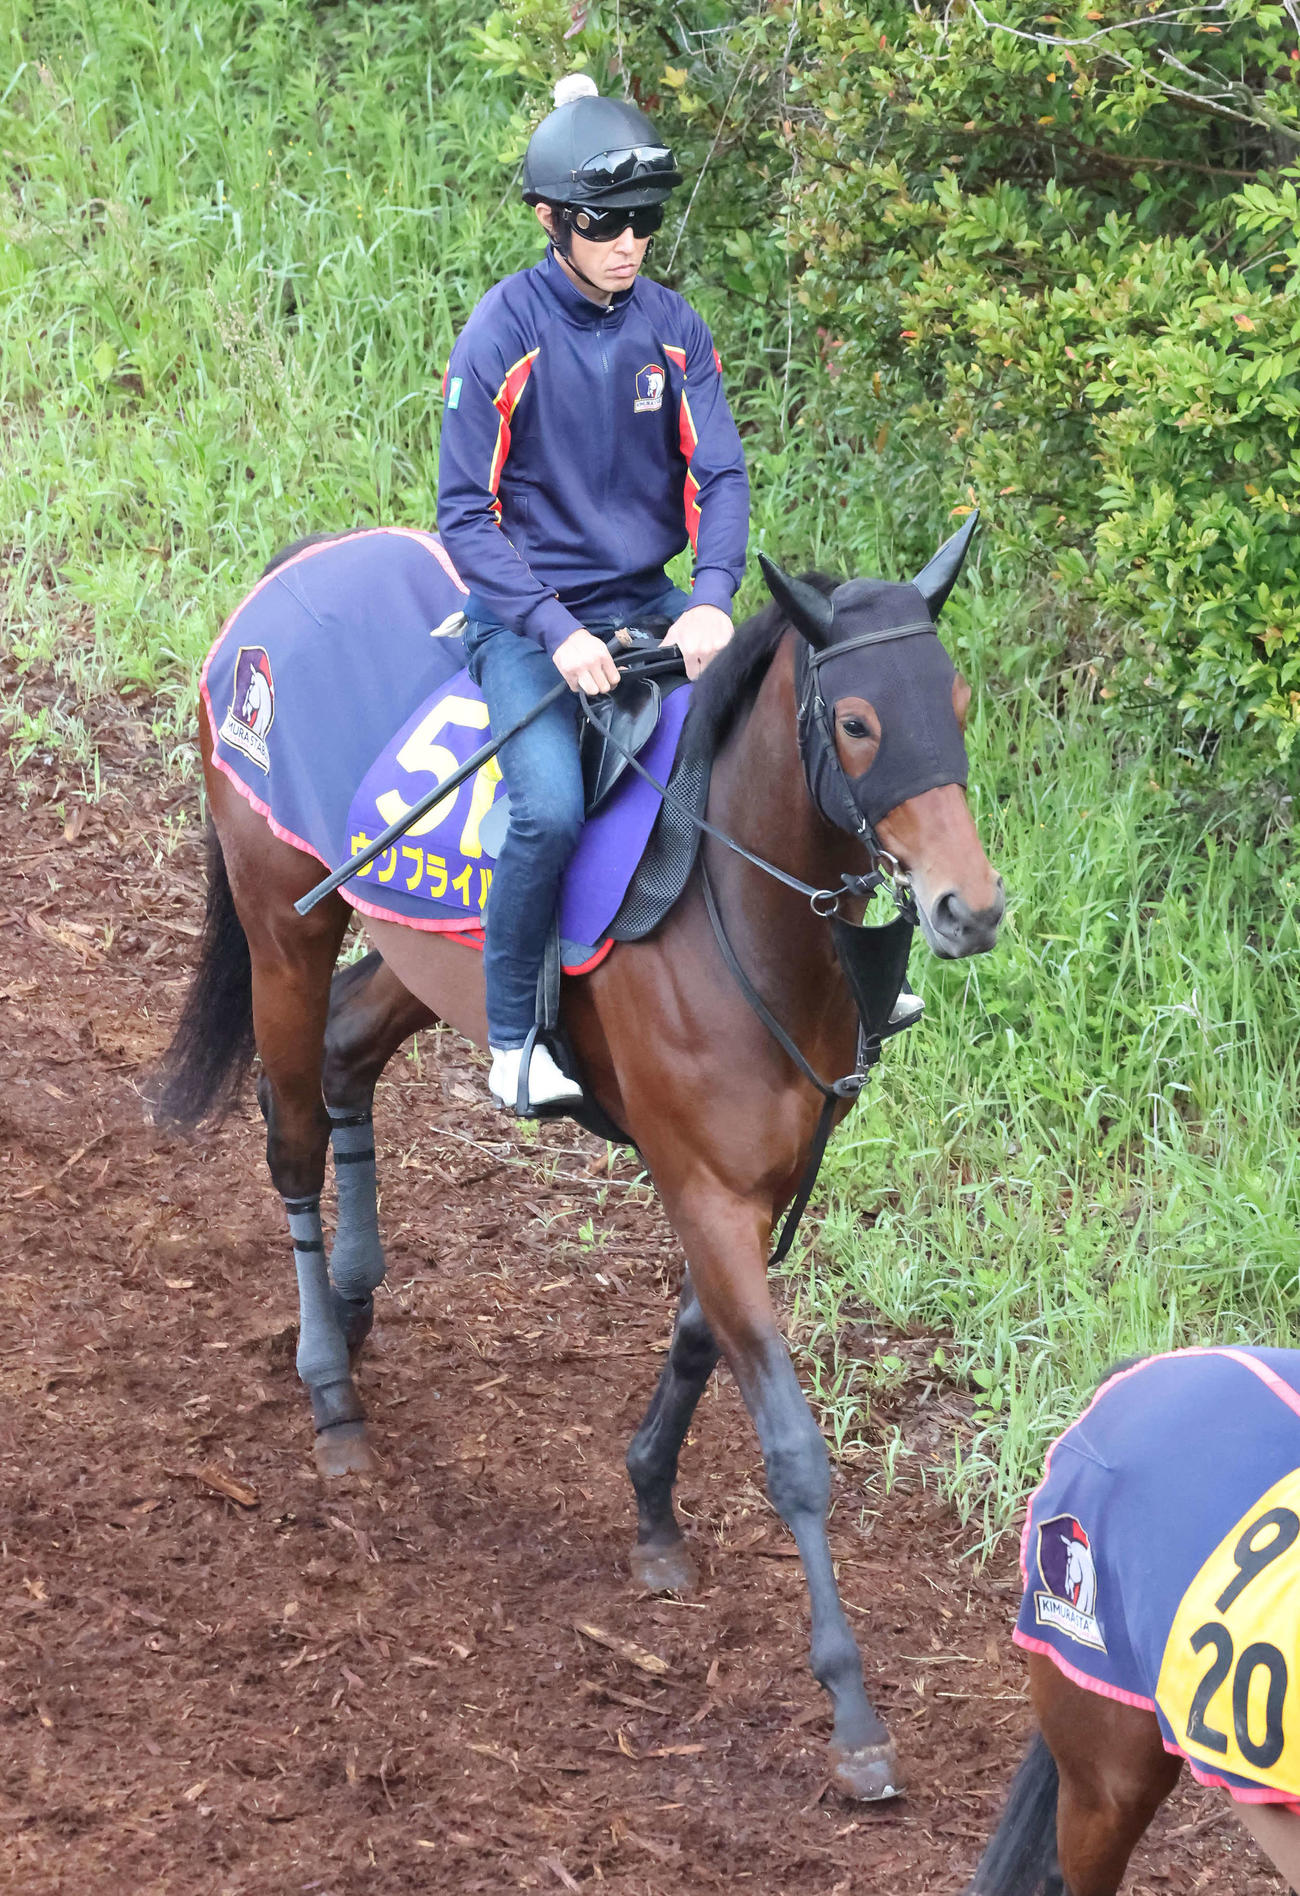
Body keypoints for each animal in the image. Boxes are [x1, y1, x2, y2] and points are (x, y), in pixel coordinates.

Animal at [155, 518, 1004, 1801]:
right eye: (858, 722)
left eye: (951, 701)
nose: (970, 908)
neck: (730, 905)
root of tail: (294, 575)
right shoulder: (704, 1186)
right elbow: (792, 1445)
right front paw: (853, 1712)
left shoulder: (762, 1183)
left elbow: (698, 1339)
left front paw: (650, 1508)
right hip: (281, 921)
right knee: (292, 1123)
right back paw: (330, 1392)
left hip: (427, 955)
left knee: (349, 1055)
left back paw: (354, 1298)